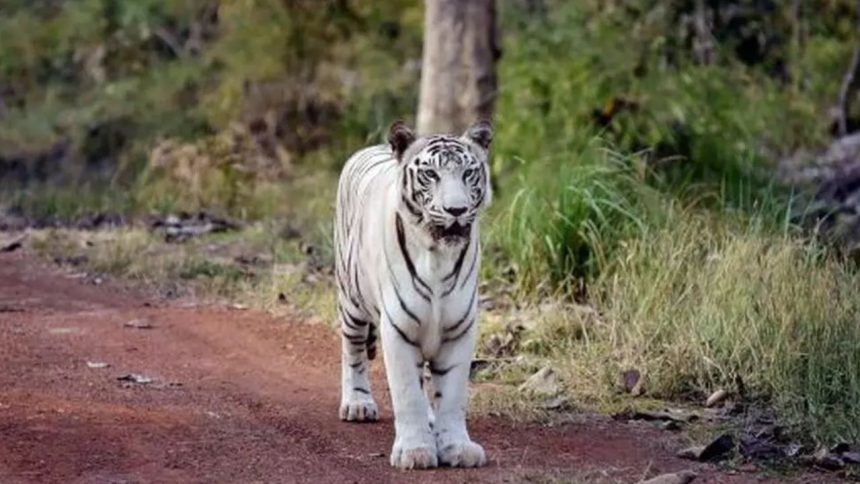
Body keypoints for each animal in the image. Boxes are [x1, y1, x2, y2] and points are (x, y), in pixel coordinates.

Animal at [334, 119, 493, 469]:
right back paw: (357, 403)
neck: (438, 255)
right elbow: (407, 395)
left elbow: (453, 397)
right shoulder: (399, 329)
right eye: (431, 174)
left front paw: (457, 447)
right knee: (353, 352)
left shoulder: (459, 330)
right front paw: (415, 451)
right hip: (352, 302)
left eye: (468, 173)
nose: (456, 209)